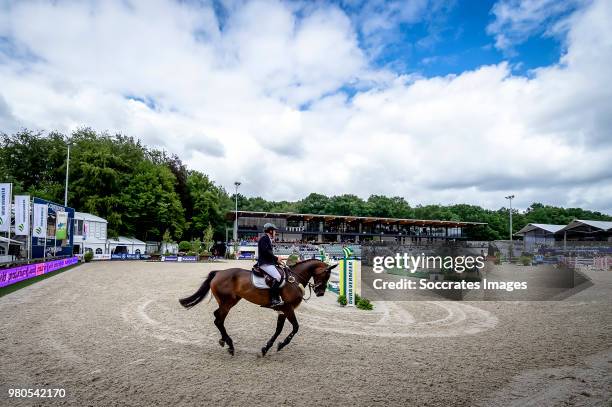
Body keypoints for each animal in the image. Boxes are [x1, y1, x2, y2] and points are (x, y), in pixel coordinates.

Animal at [179, 262, 338, 356]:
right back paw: (230, 345)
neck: (294, 279)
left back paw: (224, 341)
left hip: (230, 301)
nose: (320, 293)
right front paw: (281, 345)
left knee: (217, 317)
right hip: (227, 302)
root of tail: (218, 272)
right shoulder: (288, 309)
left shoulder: (282, 310)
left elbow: (278, 329)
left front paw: (266, 348)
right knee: (218, 320)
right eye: (326, 275)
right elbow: (295, 328)